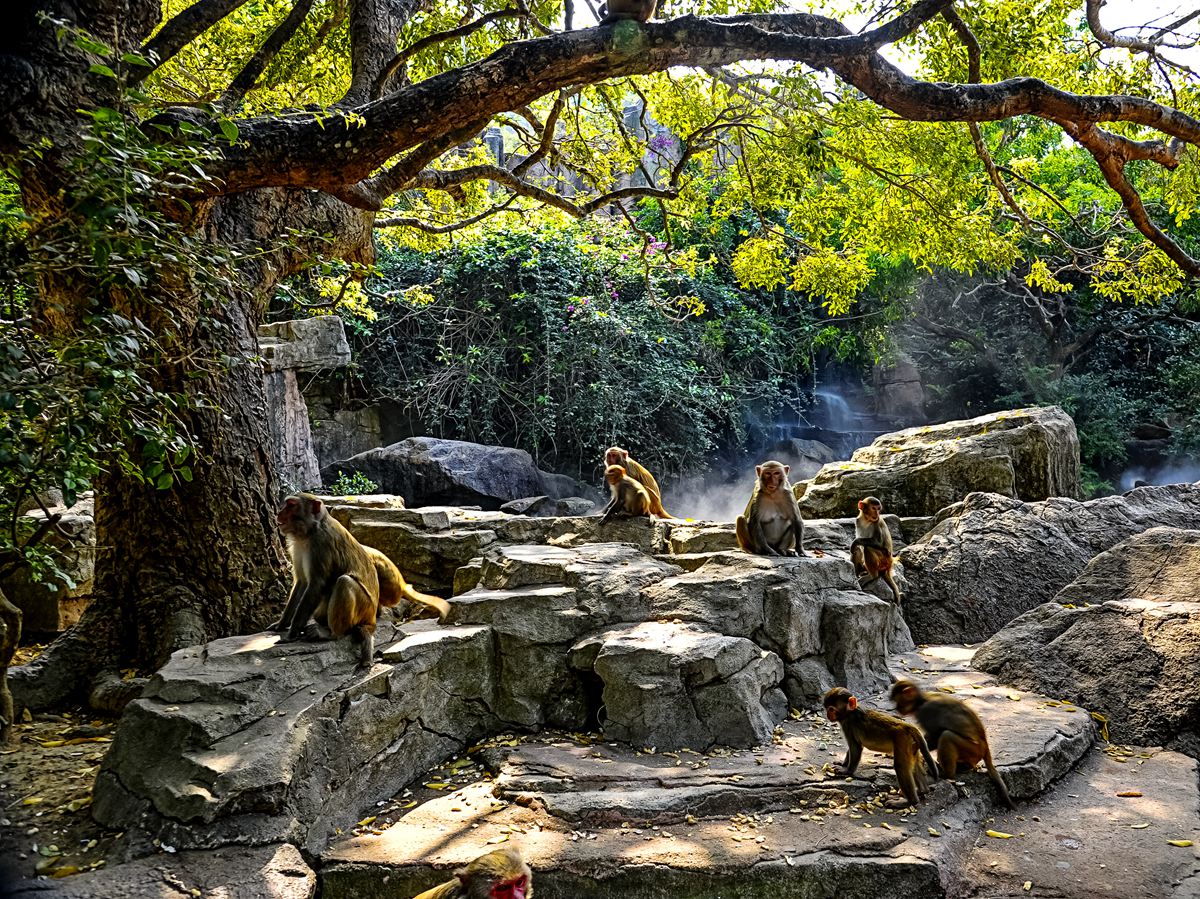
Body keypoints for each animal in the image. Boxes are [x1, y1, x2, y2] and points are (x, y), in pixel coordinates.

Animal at [272, 494, 451, 672]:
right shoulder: (297, 547)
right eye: (286, 504)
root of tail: (371, 619)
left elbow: (316, 585)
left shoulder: (321, 544)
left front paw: (291, 633)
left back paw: (331, 633)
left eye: (291, 505)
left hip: (364, 607)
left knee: (344, 582)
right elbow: (302, 583)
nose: (279, 513)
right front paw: (281, 624)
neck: (309, 532)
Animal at [892, 676, 1012, 811]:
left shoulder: (926, 711)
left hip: (973, 749)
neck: (921, 701)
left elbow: (936, 734)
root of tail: (985, 745)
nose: (897, 708)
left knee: (946, 735)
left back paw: (946, 774)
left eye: (899, 701)